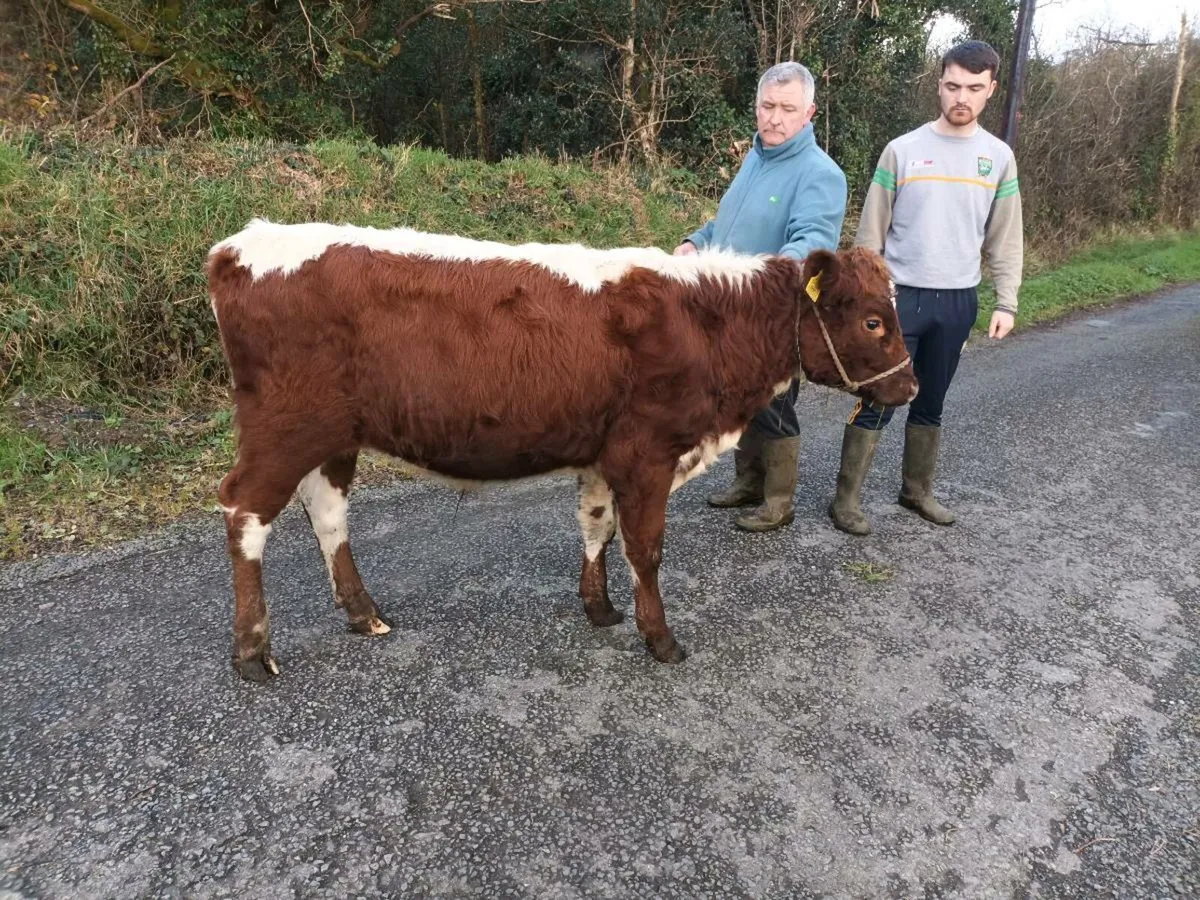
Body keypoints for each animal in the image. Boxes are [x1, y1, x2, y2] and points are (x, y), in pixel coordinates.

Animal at [206, 219, 917, 682]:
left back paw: (363, 614)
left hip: (332, 437)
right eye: (873, 320)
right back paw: (251, 652)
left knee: (327, 512)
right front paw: (660, 639)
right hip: (286, 428)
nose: (910, 386)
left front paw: (598, 608)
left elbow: (597, 526)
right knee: (245, 512)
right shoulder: (647, 452)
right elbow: (645, 548)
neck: (705, 320)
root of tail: (240, 244)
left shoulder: (605, 453)